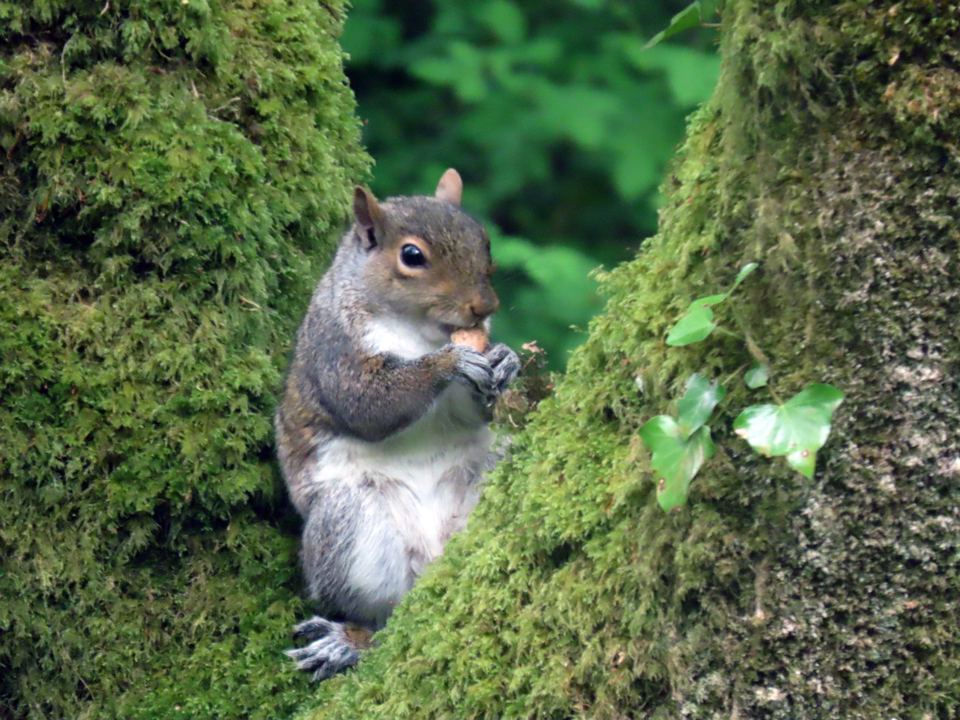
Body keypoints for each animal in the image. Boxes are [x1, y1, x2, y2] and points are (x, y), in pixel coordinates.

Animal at [275, 169, 520, 681]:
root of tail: (431, 559)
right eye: (412, 256)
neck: (418, 331)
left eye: (484, 240)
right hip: (350, 520)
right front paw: (448, 363)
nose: (484, 307)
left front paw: (507, 359)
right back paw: (348, 643)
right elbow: (370, 404)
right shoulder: (336, 350)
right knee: (383, 618)